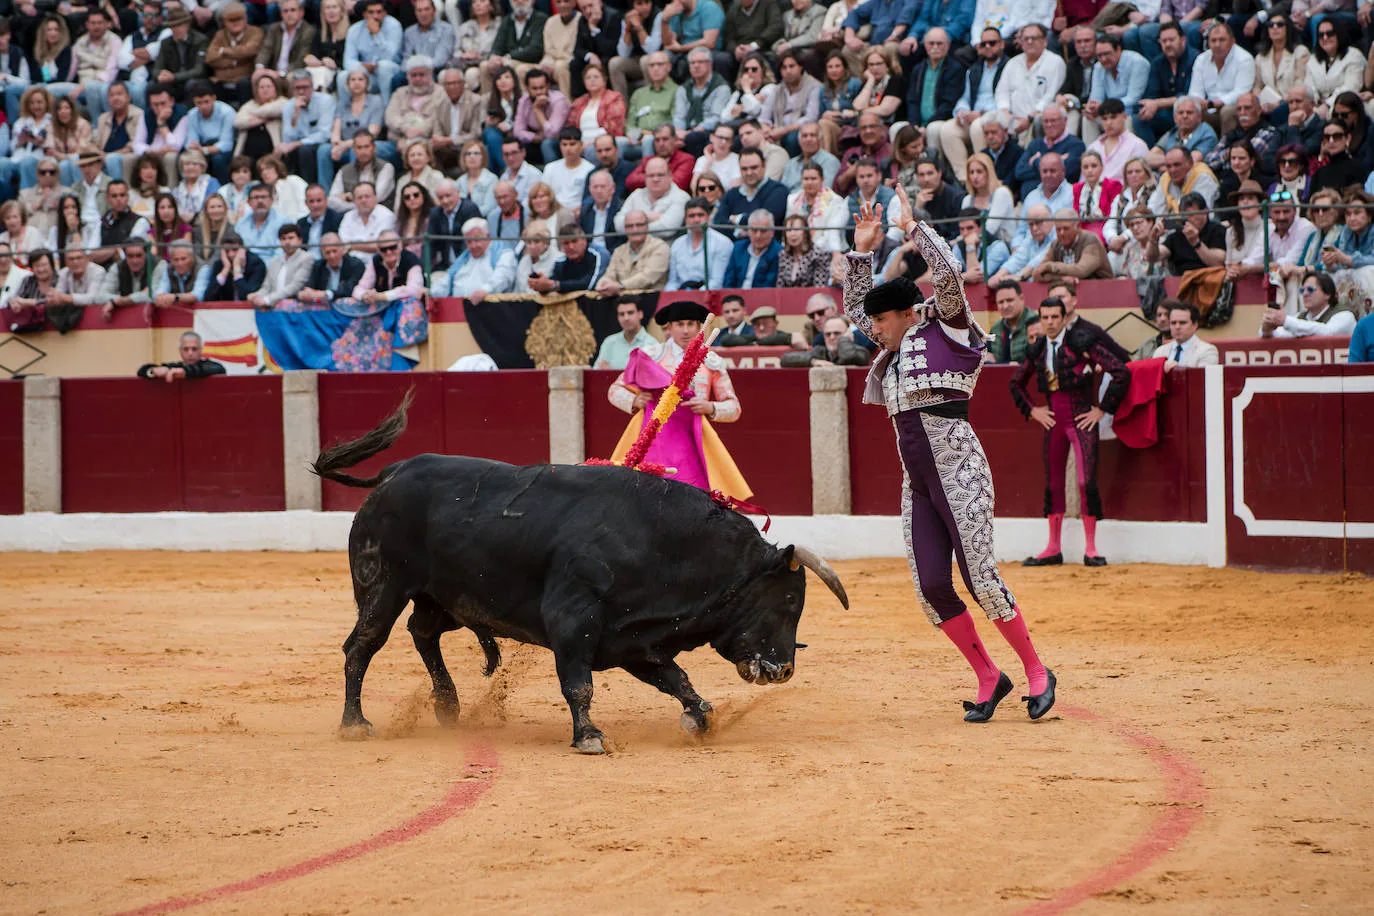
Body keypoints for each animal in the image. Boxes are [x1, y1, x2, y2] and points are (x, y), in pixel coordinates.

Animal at [311, 398, 846, 758]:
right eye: (788, 602)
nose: (783, 669)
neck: (664, 541)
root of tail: (394, 472)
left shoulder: (634, 638)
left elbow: (675, 678)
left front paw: (701, 719)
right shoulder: (573, 620)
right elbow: (579, 683)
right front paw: (589, 736)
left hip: (445, 597)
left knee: (422, 631)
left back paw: (447, 706)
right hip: (384, 586)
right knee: (363, 644)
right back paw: (355, 723)